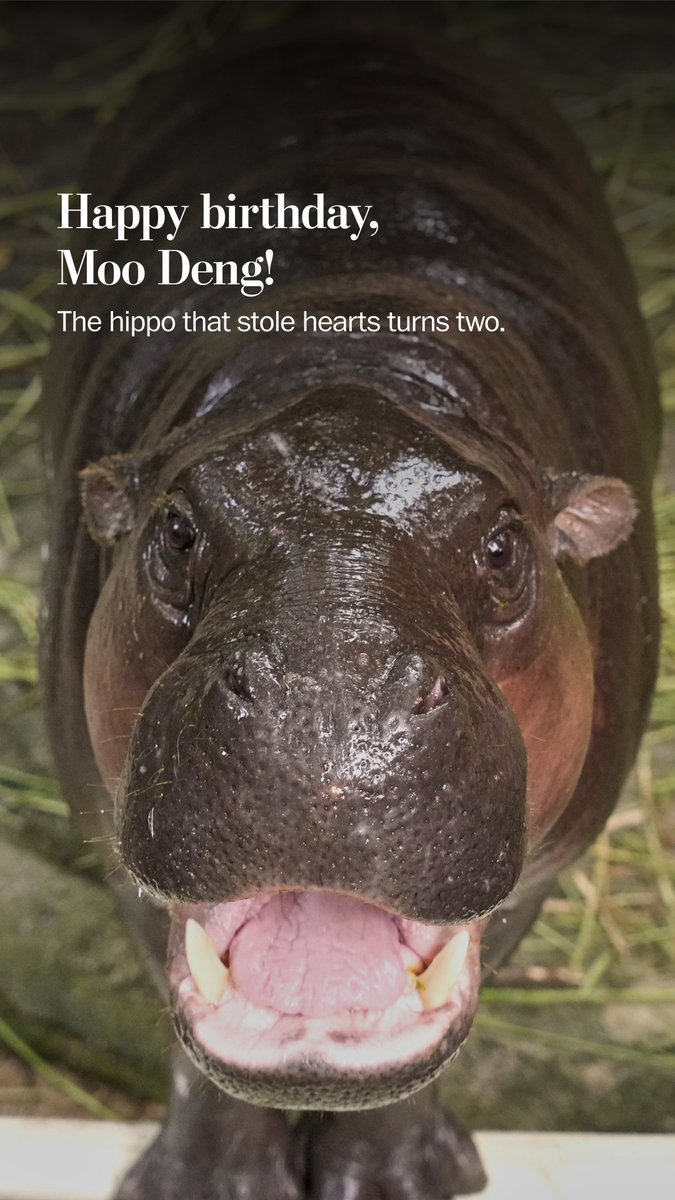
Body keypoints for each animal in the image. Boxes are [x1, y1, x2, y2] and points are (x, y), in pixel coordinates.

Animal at [41, 22, 660, 1200]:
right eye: (173, 531)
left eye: (507, 548)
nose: (326, 712)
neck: (351, 352)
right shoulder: (108, 820)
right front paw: (208, 1180)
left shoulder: (545, 861)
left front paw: (395, 1179)